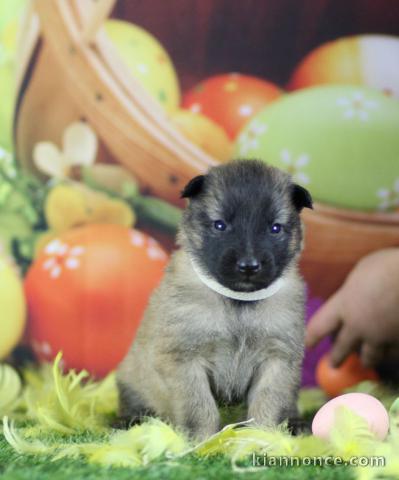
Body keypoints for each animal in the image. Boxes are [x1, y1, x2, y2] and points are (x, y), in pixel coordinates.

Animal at [117, 160, 314, 438]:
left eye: (274, 228)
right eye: (220, 225)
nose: (249, 265)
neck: (239, 303)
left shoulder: (277, 361)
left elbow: (266, 403)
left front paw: (261, 438)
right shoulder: (185, 362)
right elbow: (200, 408)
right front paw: (203, 440)